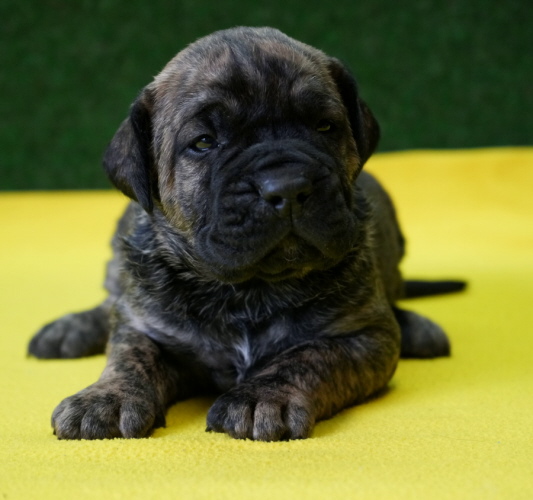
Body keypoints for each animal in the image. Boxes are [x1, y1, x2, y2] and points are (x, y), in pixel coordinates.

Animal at [29, 27, 463, 441]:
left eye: (325, 126)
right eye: (204, 142)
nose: (287, 187)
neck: (247, 291)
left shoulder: (363, 336)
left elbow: (307, 357)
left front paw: (263, 398)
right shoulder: (147, 327)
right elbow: (130, 355)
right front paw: (106, 398)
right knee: (113, 301)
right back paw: (70, 328)